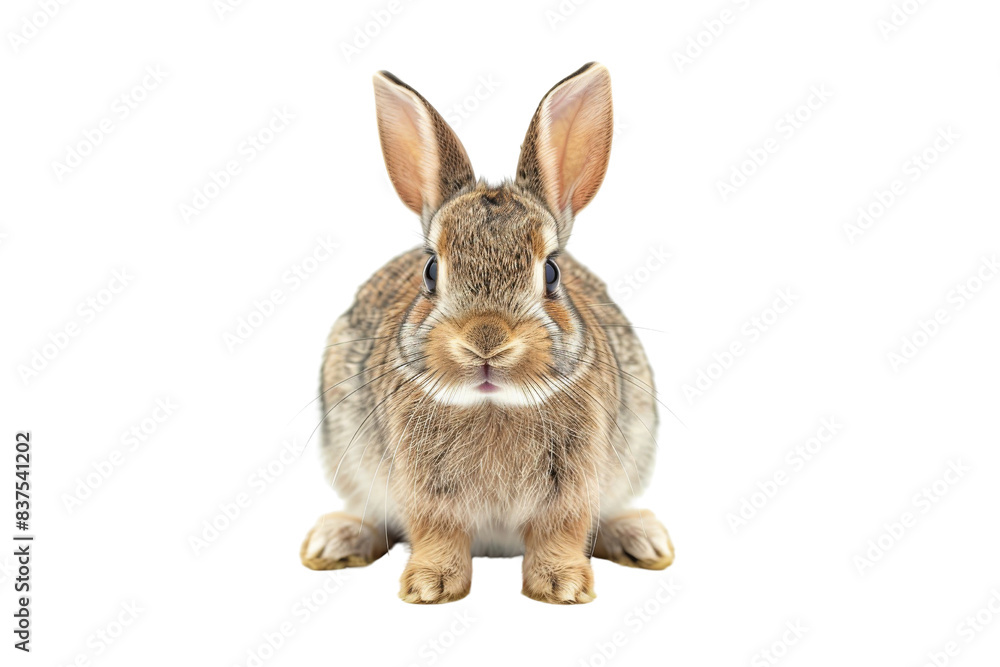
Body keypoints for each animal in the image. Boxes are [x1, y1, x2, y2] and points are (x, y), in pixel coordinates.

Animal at [300, 62, 673, 604]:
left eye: (552, 272)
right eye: (431, 270)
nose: (486, 340)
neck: (493, 403)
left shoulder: (575, 480)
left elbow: (562, 529)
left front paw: (562, 586)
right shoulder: (423, 485)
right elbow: (436, 530)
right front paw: (430, 586)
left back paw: (642, 539)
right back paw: (335, 540)